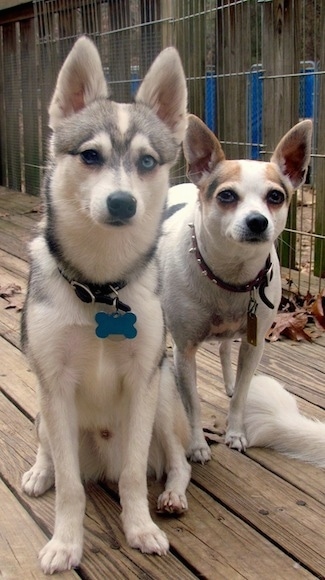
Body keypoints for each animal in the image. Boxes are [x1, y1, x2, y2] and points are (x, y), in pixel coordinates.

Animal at [21, 37, 191, 576]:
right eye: (91, 155)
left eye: (147, 162)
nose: (121, 203)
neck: (100, 287)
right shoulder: (53, 383)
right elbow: (70, 487)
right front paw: (66, 542)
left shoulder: (142, 381)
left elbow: (136, 474)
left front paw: (139, 528)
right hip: (41, 405)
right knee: (49, 449)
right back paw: (39, 470)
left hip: (164, 395)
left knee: (177, 462)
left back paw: (173, 496)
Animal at [158, 114, 312, 462]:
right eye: (227, 196)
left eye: (276, 196)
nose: (257, 221)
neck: (230, 275)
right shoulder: (186, 350)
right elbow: (193, 403)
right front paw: (197, 445)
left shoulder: (254, 345)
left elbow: (242, 394)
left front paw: (236, 432)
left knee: (226, 349)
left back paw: (228, 382)